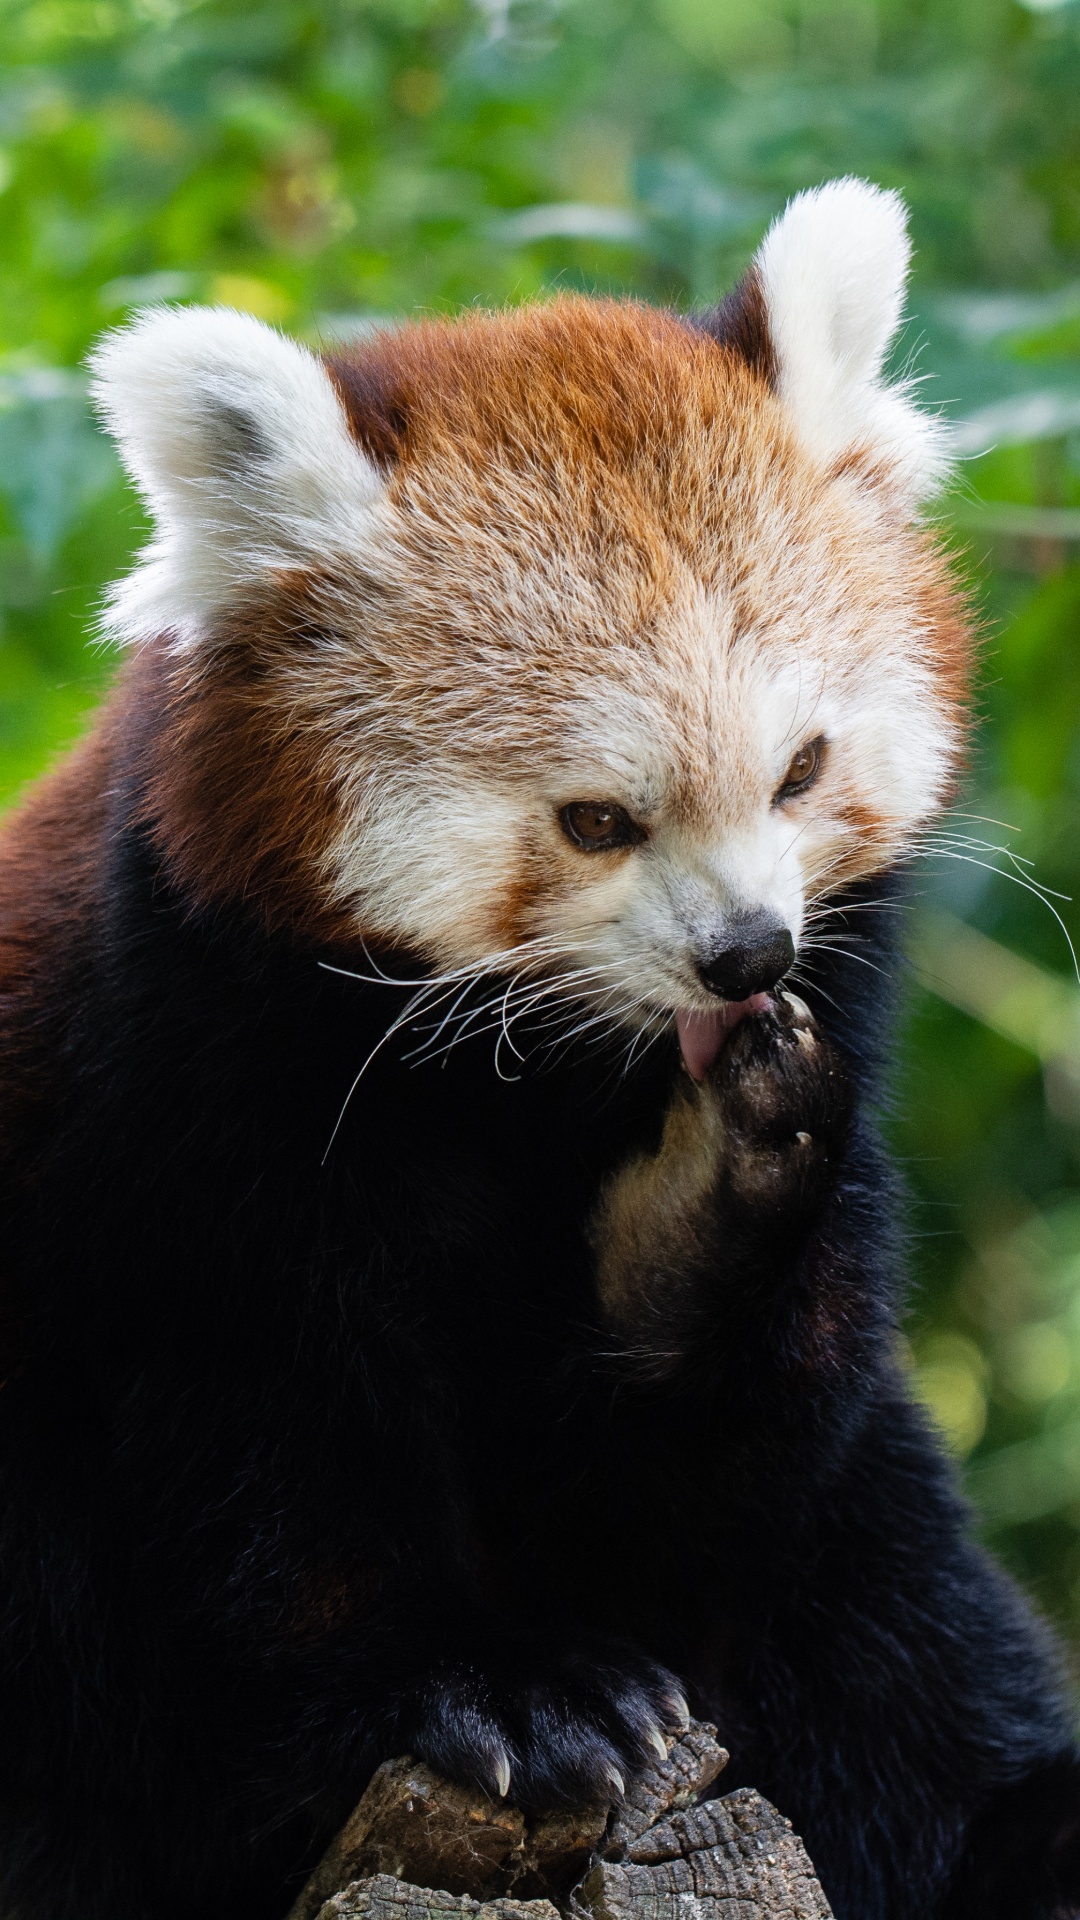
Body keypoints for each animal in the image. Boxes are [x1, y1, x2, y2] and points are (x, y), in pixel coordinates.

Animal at [0, 177, 1078, 1920]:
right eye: (595, 822)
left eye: (799, 770)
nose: (747, 952)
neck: (531, 1083)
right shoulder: (172, 1082)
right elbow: (263, 1460)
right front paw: (494, 1687)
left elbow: (719, 1481)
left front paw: (708, 1192)